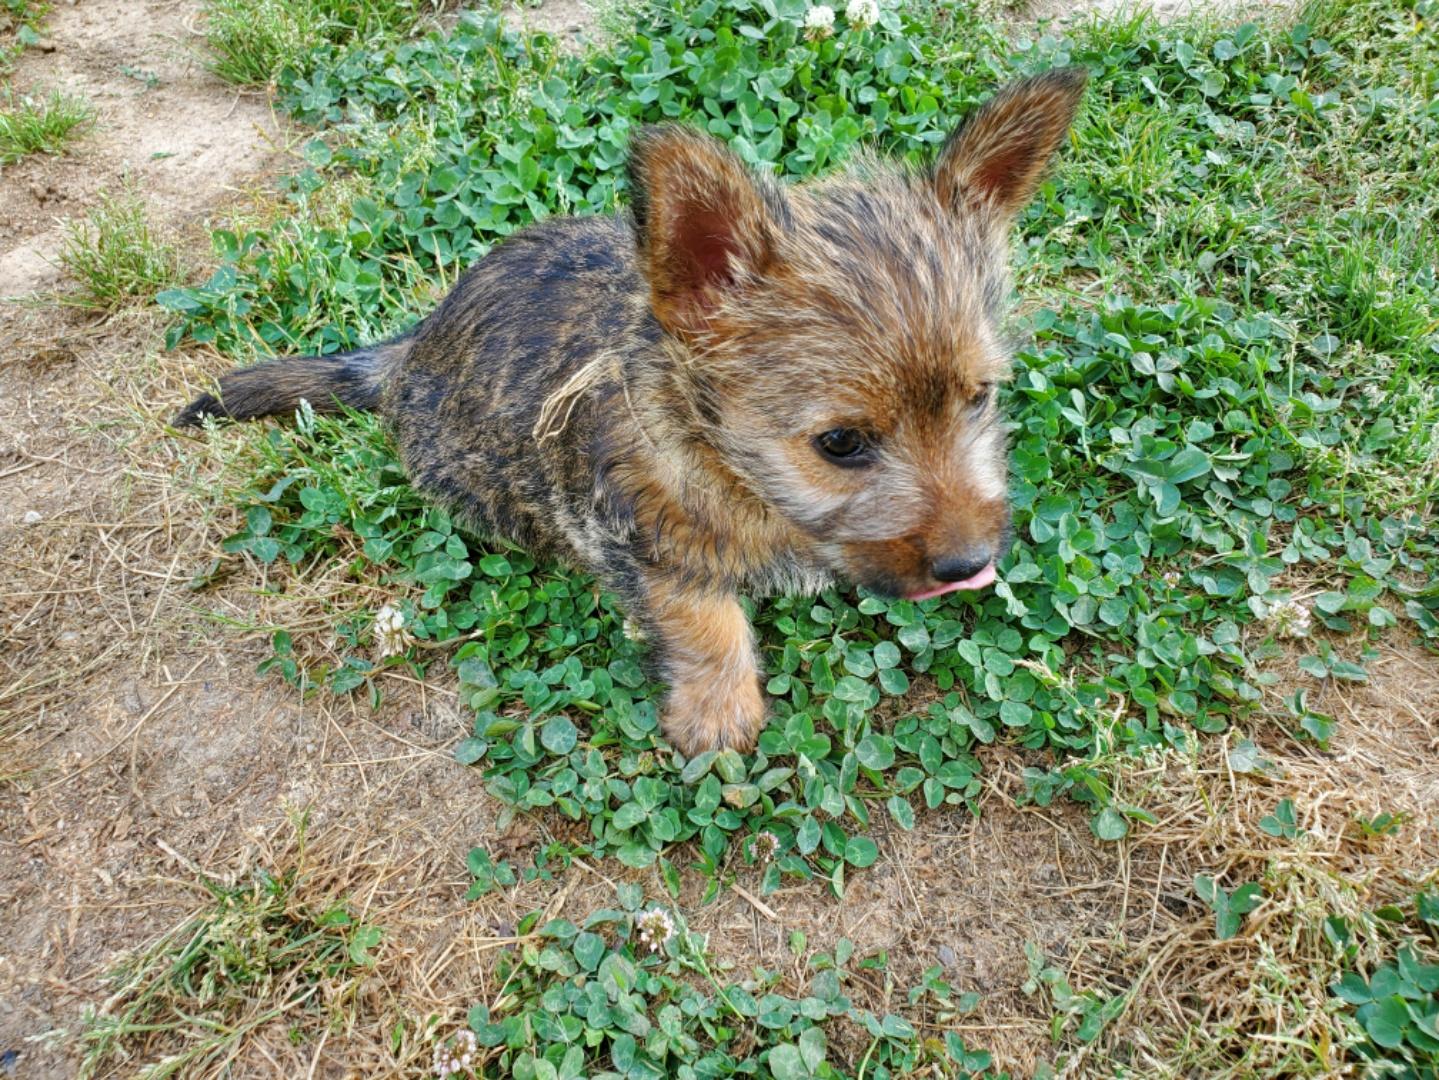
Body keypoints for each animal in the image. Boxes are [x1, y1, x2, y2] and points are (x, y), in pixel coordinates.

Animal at [176, 68, 1087, 757]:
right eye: (840, 443)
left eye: (981, 397)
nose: (970, 564)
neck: (734, 475)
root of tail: (408, 351)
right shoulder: (639, 540)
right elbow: (702, 616)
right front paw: (718, 711)